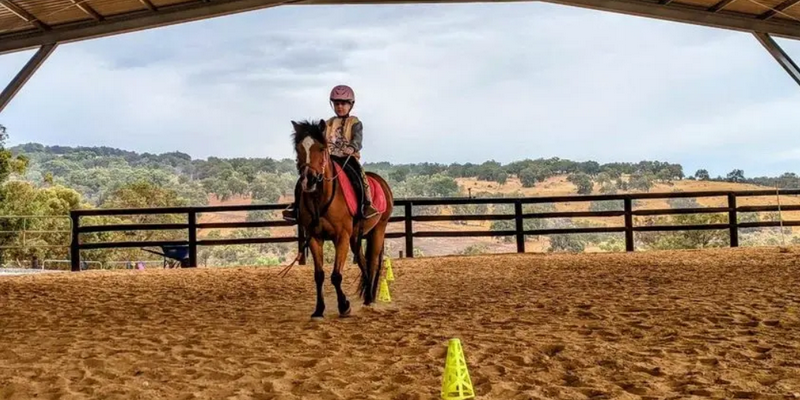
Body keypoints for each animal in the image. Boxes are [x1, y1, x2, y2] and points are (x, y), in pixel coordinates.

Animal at [289, 119, 394, 319]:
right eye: (298, 149)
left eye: (321, 148)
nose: (309, 180)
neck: (321, 198)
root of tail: (382, 183)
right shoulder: (315, 237)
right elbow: (319, 275)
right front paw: (319, 309)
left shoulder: (341, 237)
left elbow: (336, 275)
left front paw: (344, 306)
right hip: (355, 237)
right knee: (363, 262)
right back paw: (367, 297)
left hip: (378, 230)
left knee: (372, 263)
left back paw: (370, 299)